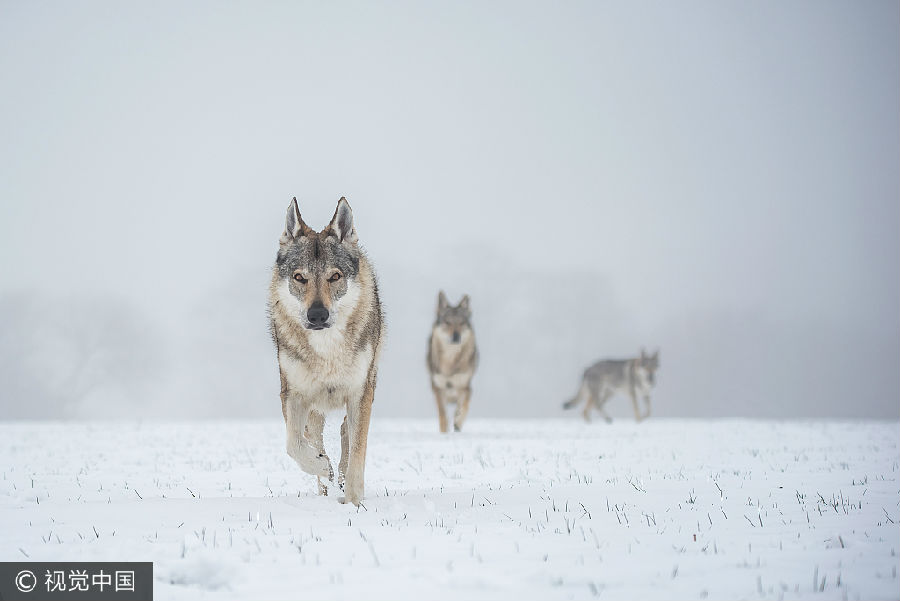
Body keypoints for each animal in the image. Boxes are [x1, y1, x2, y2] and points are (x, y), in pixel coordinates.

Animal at [266, 195, 382, 504]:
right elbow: (294, 444)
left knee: (345, 432)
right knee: (315, 438)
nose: (317, 315)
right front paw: (320, 465)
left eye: (335, 276)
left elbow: (357, 453)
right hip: (314, 409)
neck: (327, 350)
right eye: (299, 277)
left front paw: (353, 501)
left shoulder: (360, 392)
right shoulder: (293, 394)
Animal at [428, 290, 478, 432]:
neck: (450, 360)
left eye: (461, 323)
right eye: (448, 322)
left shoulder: (466, 387)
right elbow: (443, 413)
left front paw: (458, 422)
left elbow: (464, 406)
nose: (456, 336)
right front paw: (444, 431)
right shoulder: (438, 388)